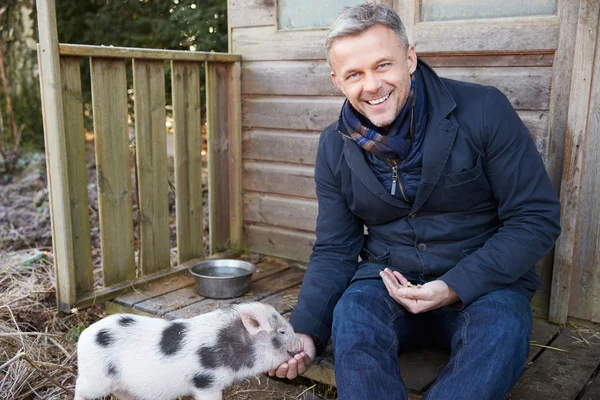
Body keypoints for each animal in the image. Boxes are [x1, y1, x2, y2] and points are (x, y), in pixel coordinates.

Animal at [74, 302, 304, 398]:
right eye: (282, 331)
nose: (302, 344)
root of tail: (84, 336)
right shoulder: (205, 381)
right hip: (96, 379)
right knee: (79, 387)